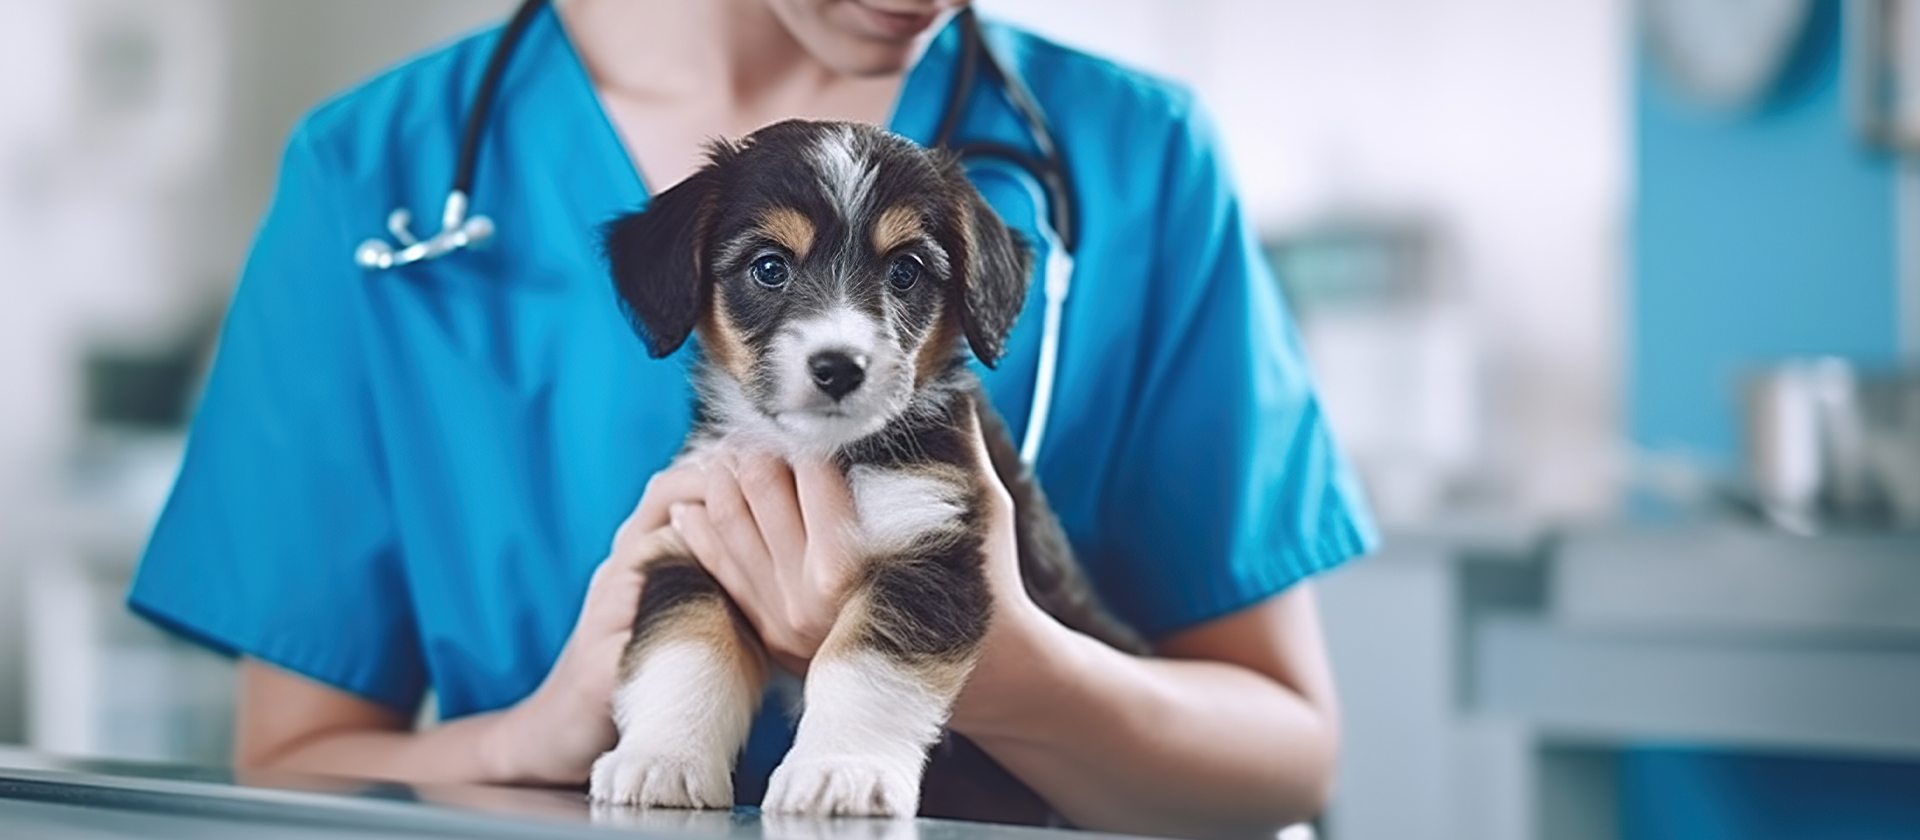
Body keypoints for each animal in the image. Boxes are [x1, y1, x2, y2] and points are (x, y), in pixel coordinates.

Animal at [591, 119, 1136, 820]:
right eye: (769, 267)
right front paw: (662, 758)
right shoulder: (692, 541)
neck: (823, 454)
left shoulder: (928, 551)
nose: (838, 367)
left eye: (905, 271)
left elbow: (863, 666)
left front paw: (840, 771)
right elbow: (684, 650)